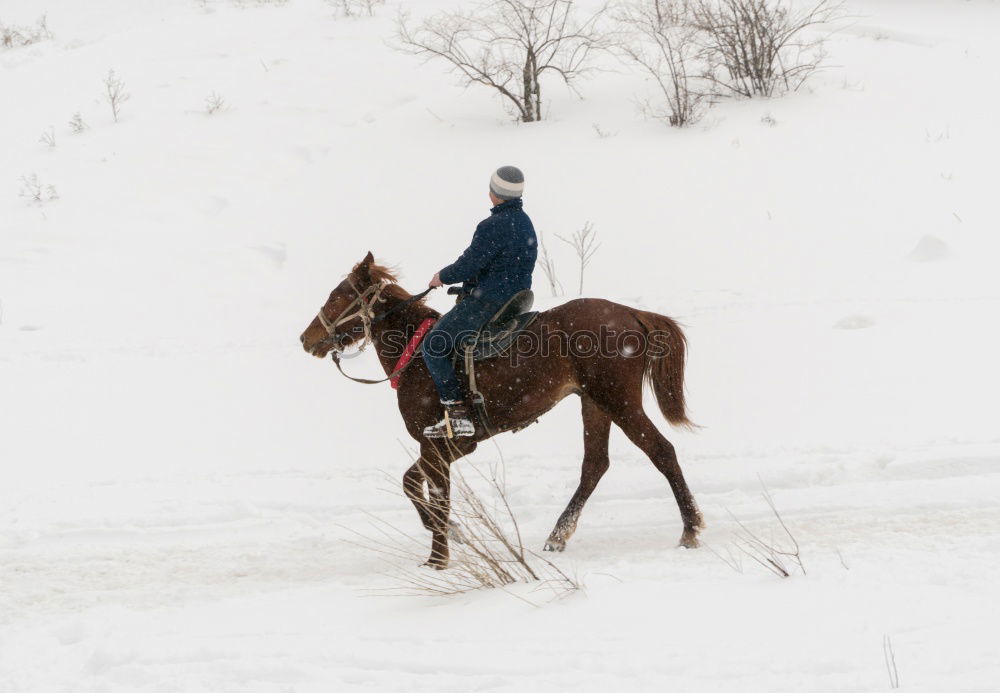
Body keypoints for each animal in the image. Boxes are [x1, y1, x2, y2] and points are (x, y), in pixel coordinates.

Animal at [296, 253, 704, 568]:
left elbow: (434, 494)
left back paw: (691, 529)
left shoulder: (438, 445)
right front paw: (452, 535)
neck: (414, 354)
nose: (305, 338)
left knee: (661, 451)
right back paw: (559, 535)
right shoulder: (450, 447)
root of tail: (632, 314)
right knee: (594, 465)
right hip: (594, 403)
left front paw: (438, 559)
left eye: (338, 296)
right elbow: (411, 483)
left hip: (619, 401)